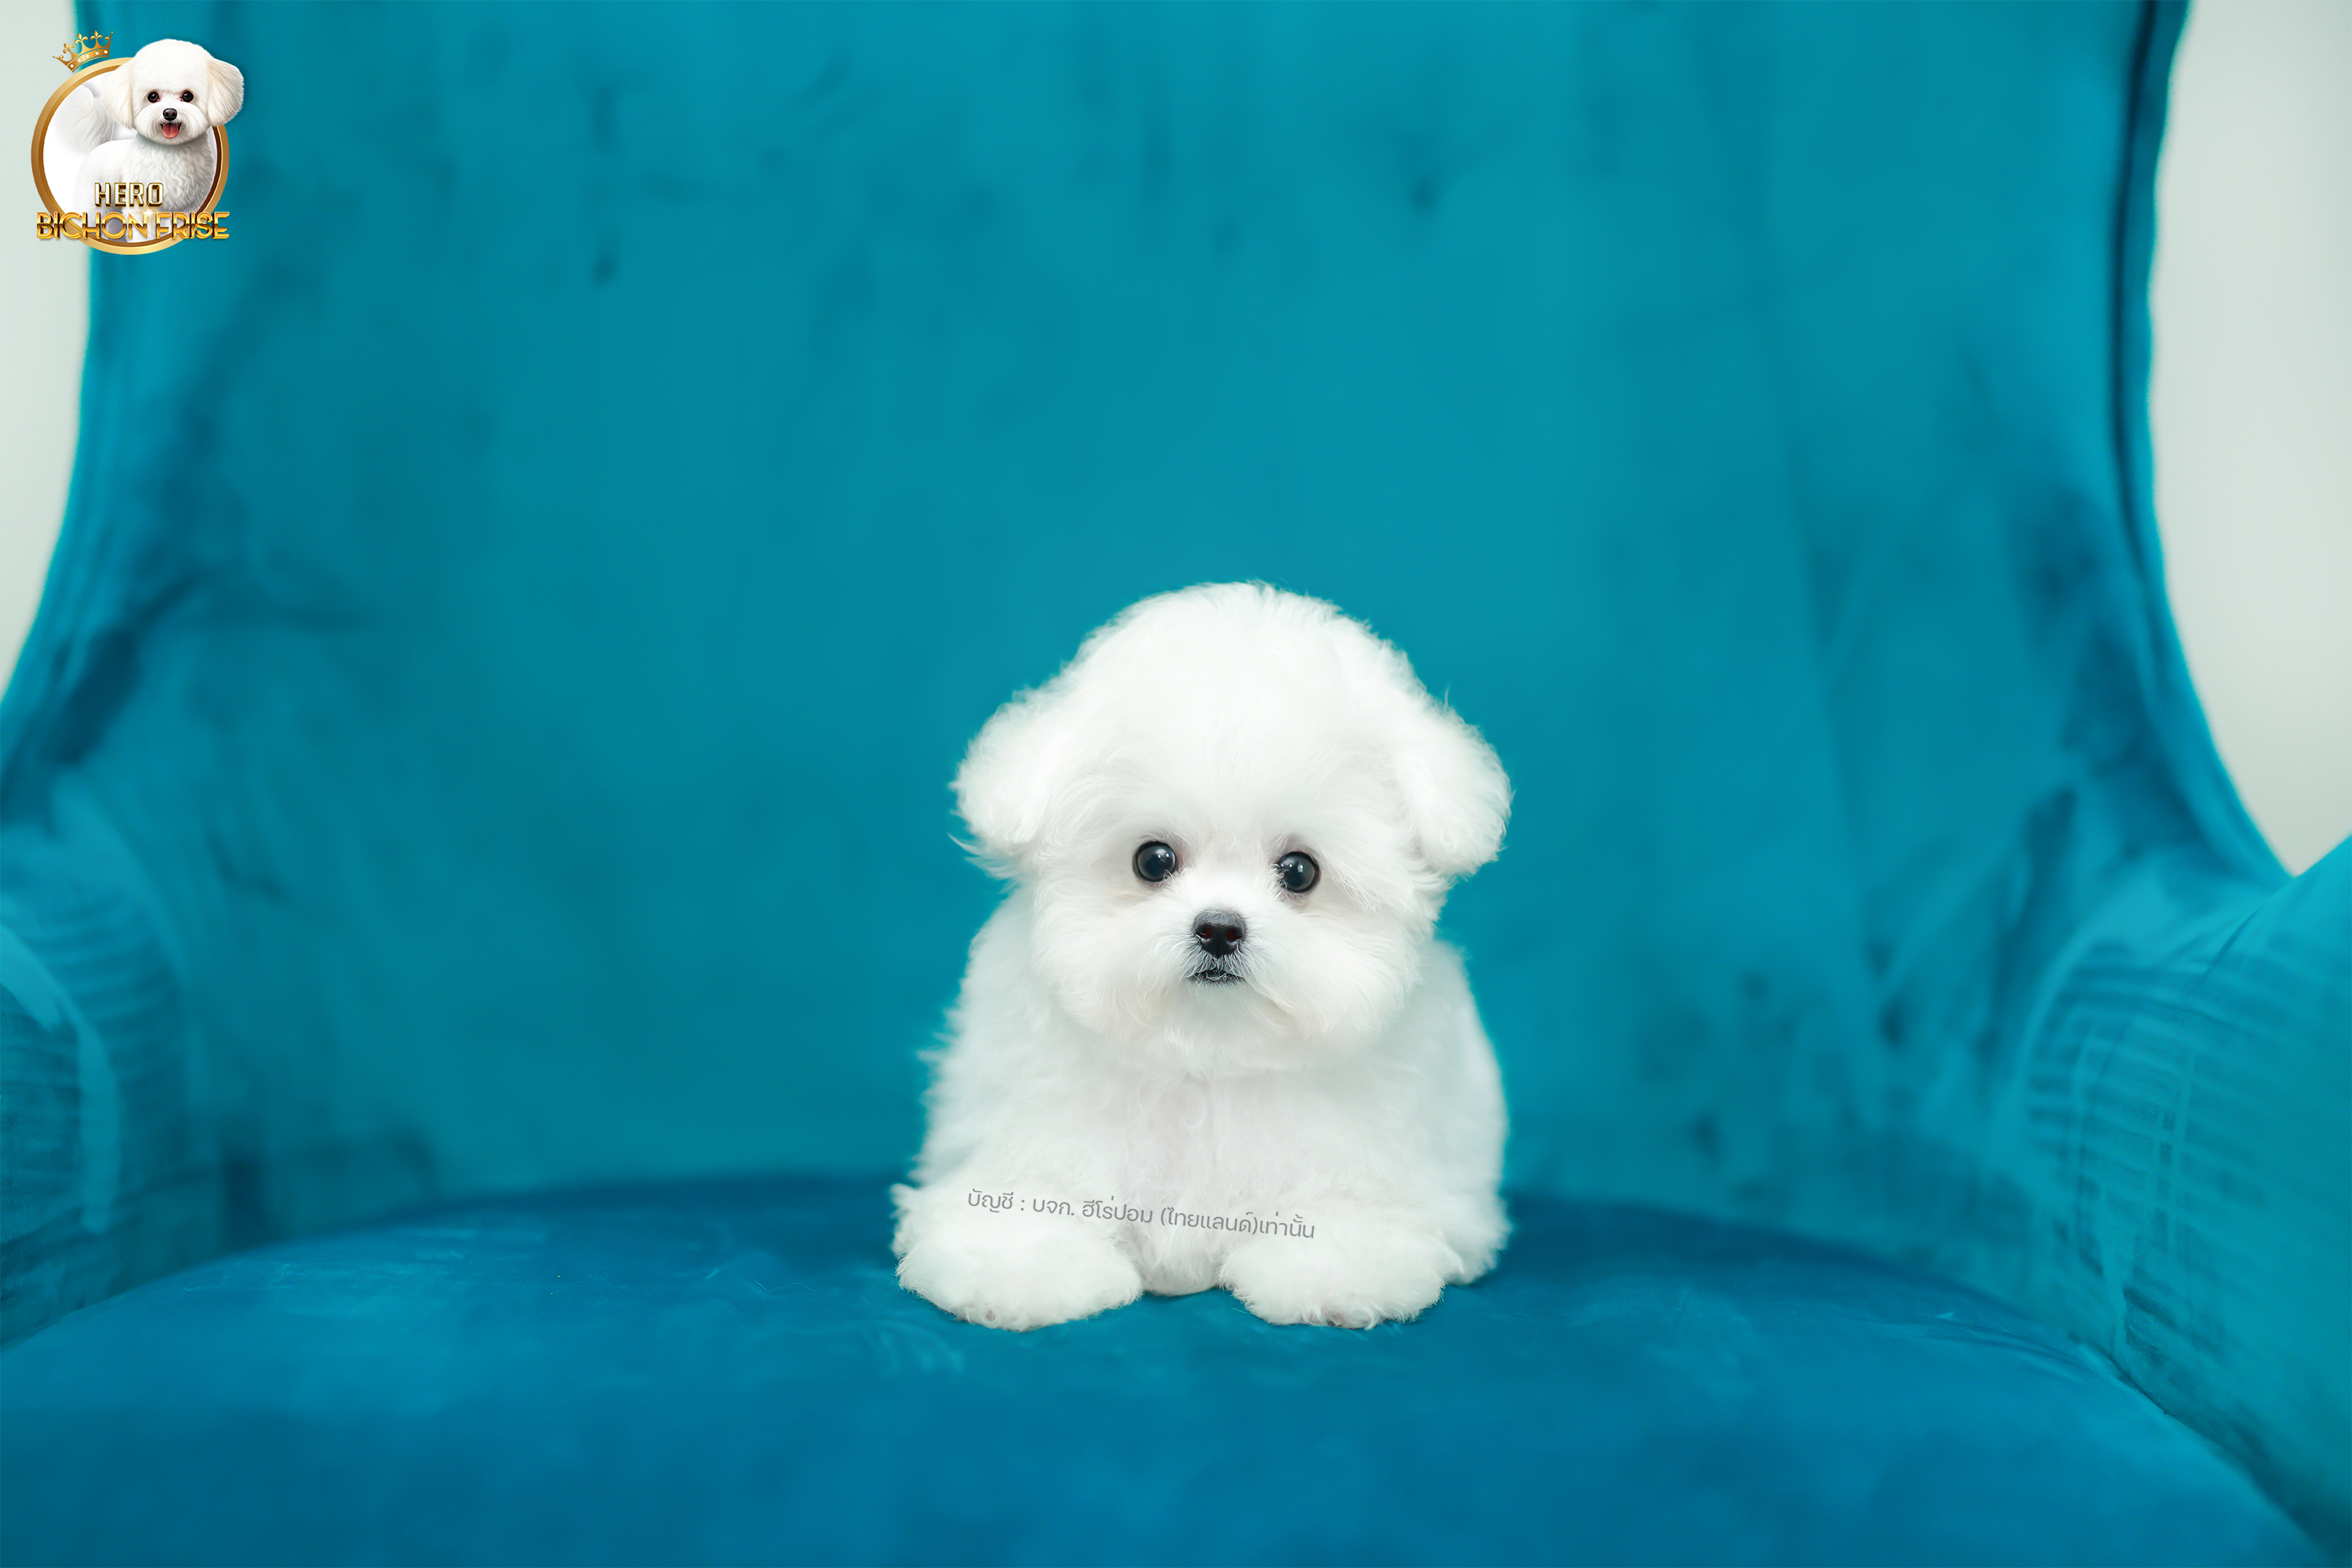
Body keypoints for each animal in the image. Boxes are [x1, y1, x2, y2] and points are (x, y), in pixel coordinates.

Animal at [52, 40, 243, 223]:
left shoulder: (192, 206)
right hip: (94, 205)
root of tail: (101, 146)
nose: (170, 113)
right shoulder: (141, 205)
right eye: (153, 96)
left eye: (188, 96)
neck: (171, 152)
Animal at [892, 584, 1512, 1330]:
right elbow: (1030, 1187)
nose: (1219, 928)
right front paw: (1017, 1264)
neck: (1207, 1053)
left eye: (1299, 872)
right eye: (1153, 860)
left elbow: (1350, 1203)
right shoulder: (1034, 1122)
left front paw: (1335, 1267)